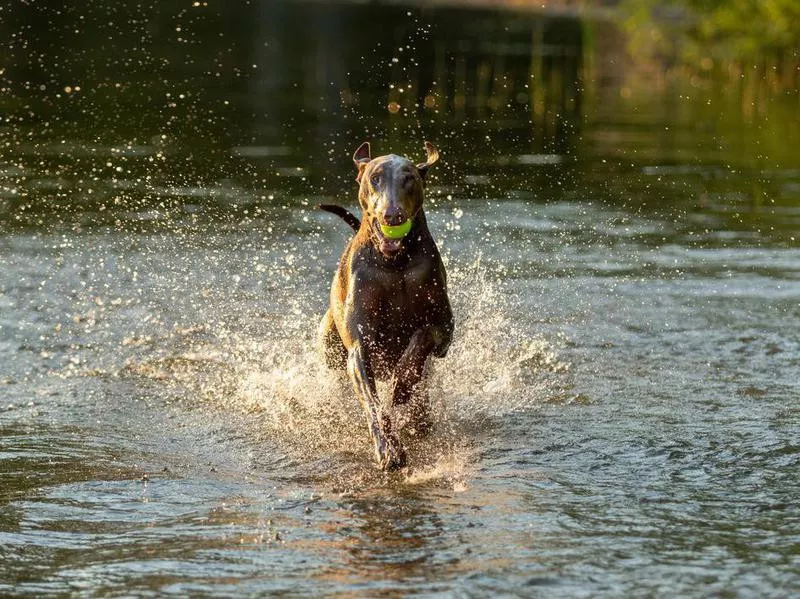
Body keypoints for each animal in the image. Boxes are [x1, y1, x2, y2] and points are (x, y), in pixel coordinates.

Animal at [320, 142, 456, 474]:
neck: (394, 263)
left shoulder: (445, 330)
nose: (392, 215)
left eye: (409, 178)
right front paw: (388, 450)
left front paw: (402, 384)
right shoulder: (359, 347)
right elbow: (373, 403)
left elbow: (422, 340)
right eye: (375, 178)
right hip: (329, 344)